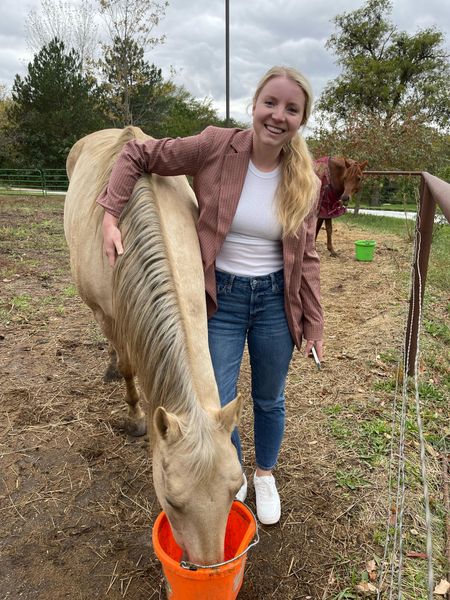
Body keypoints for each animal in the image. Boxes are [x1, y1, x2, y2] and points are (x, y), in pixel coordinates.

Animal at [64, 127, 243, 568]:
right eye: (173, 502)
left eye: (235, 489)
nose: (207, 569)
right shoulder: (112, 316)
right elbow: (131, 369)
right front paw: (135, 417)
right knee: (114, 348)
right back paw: (111, 368)